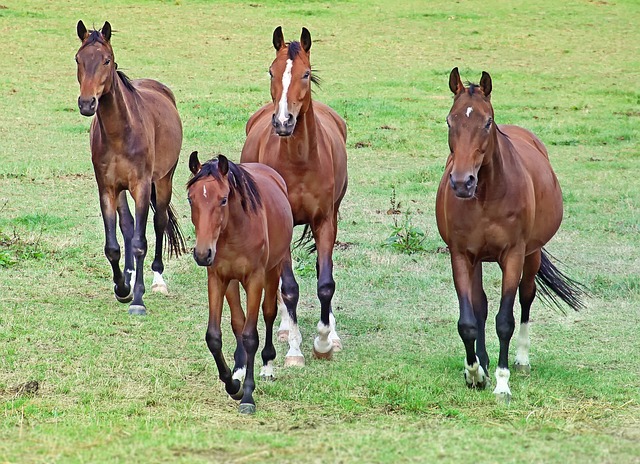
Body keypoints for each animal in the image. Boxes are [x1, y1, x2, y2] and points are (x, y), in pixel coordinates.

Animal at [75, 21, 185, 318]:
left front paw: (138, 300)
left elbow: (139, 243)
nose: (87, 103)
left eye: (106, 60)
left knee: (158, 223)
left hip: (164, 180)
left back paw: (157, 280)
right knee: (128, 225)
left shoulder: (142, 186)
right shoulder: (107, 188)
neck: (120, 132)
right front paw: (122, 288)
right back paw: (131, 275)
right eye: (78, 59)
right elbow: (114, 245)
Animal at [186, 151, 294, 414]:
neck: (234, 231)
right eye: (191, 199)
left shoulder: (255, 279)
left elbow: (250, 336)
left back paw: (267, 365)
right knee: (238, 321)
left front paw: (247, 396)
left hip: (273, 270)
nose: (202, 254)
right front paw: (232, 384)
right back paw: (239, 368)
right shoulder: (217, 278)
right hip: (232, 282)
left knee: (268, 312)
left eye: (223, 200)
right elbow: (215, 336)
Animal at [241, 26, 350, 366]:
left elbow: (325, 282)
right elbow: (289, 287)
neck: (301, 161)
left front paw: (324, 342)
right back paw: (285, 328)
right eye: (271, 71)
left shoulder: (325, 220)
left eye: (305, 74)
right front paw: (295, 349)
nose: (283, 121)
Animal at [436, 66, 584, 402]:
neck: (486, 196)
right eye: (450, 120)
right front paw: (474, 372)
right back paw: (483, 362)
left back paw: (521, 360)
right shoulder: (461, 255)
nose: (462, 182)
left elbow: (506, 320)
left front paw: (502, 384)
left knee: (527, 297)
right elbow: (468, 319)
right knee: (480, 305)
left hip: (532, 254)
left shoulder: (514, 255)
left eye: (487, 122)